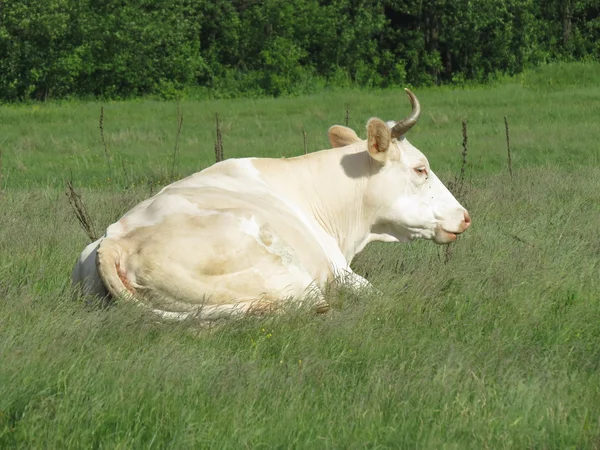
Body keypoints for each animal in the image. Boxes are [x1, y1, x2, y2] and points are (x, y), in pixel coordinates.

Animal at [72, 89, 472, 320]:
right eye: (420, 168)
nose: (465, 216)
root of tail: (115, 241)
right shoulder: (340, 270)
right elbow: (384, 298)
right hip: (290, 276)